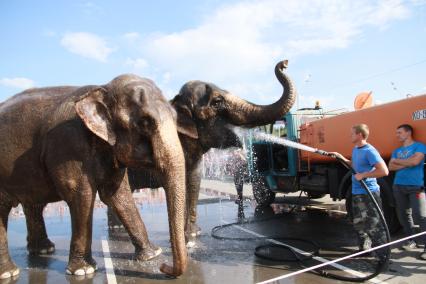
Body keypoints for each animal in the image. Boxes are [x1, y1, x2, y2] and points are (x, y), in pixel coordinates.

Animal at [0, 74, 186, 280]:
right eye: (145, 122)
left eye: (176, 118)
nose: (164, 267)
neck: (102, 88)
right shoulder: (68, 146)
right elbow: (82, 196)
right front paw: (83, 270)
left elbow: (118, 195)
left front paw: (152, 254)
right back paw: (9, 273)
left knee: (33, 204)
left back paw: (43, 251)